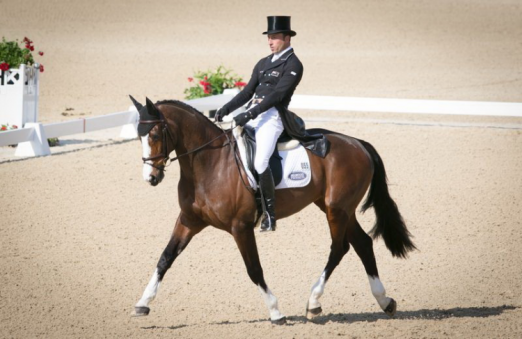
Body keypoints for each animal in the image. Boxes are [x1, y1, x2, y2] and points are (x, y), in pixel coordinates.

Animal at [130, 97, 414, 326]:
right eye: (138, 136)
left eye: (154, 135)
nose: (150, 177)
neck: (209, 164)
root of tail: (357, 143)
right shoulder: (189, 221)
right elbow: (165, 258)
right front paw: (142, 304)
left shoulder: (240, 227)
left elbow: (254, 269)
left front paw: (276, 312)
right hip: (338, 208)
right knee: (362, 244)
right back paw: (385, 301)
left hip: (337, 209)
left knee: (339, 248)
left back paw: (314, 302)